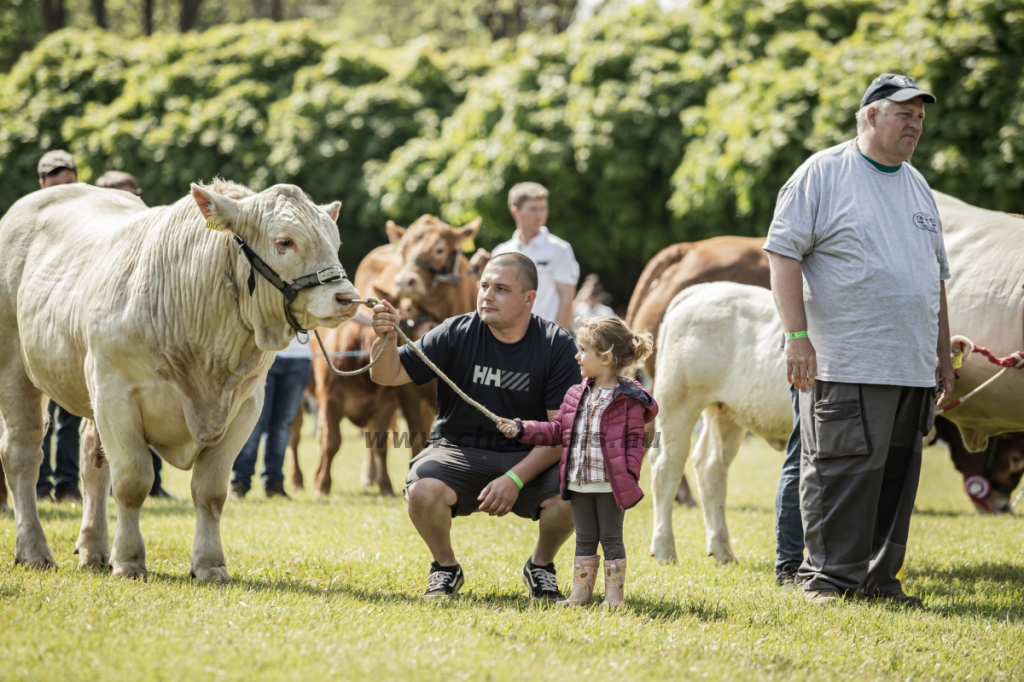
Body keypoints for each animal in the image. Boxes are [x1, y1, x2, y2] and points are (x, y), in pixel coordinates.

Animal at [0, 179, 360, 577]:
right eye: (285, 241)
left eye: (335, 242)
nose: (347, 297)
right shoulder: (115, 394)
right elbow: (133, 481)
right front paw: (129, 560)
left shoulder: (246, 407)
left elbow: (211, 491)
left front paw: (210, 564)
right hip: (17, 368)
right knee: (22, 454)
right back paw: (34, 551)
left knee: (92, 461)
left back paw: (93, 550)